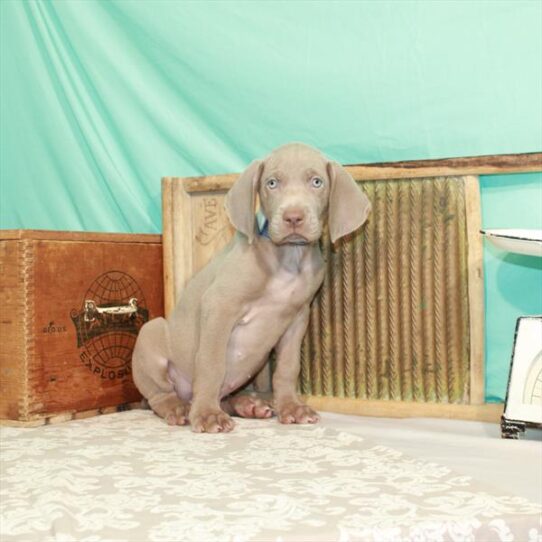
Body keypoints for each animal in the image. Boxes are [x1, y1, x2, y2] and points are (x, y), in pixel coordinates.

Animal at [133, 143, 372, 434]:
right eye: (272, 183)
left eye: (317, 182)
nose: (293, 217)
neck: (288, 258)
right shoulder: (219, 306)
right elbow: (211, 364)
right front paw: (207, 415)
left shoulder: (298, 317)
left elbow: (288, 368)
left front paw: (291, 407)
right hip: (151, 333)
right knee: (160, 395)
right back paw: (180, 408)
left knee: (226, 397)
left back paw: (248, 404)